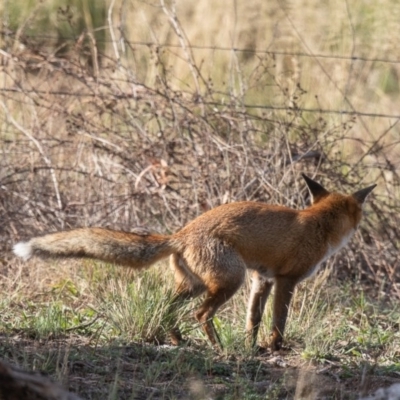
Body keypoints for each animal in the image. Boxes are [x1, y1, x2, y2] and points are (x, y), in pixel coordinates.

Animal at [12, 174, 376, 350]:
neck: (318, 224)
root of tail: (181, 233)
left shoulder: (262, 279)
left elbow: (252, 320)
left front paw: (251, 348)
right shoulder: (286, 280)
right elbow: (278, 322)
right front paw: (275, 347)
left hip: (197, 284)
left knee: (166, 307)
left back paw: (177, 340)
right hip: (229, 281)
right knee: (200, 314)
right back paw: (218, 348)